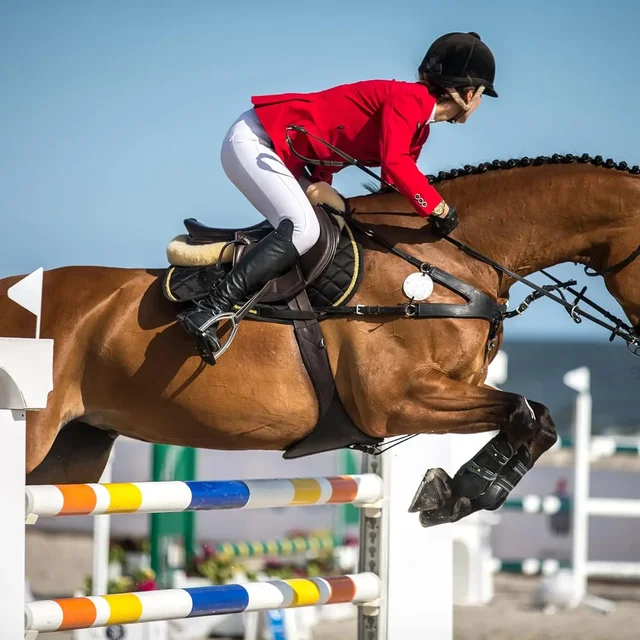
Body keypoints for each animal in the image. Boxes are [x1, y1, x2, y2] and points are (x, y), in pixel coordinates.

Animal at [6, 153, 639, 527]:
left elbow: (535, 418)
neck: (443, 258)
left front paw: (457, 493)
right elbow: (529, 414)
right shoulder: (395, 398)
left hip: (72, 452)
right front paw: (457, 494)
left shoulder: (447, 391)